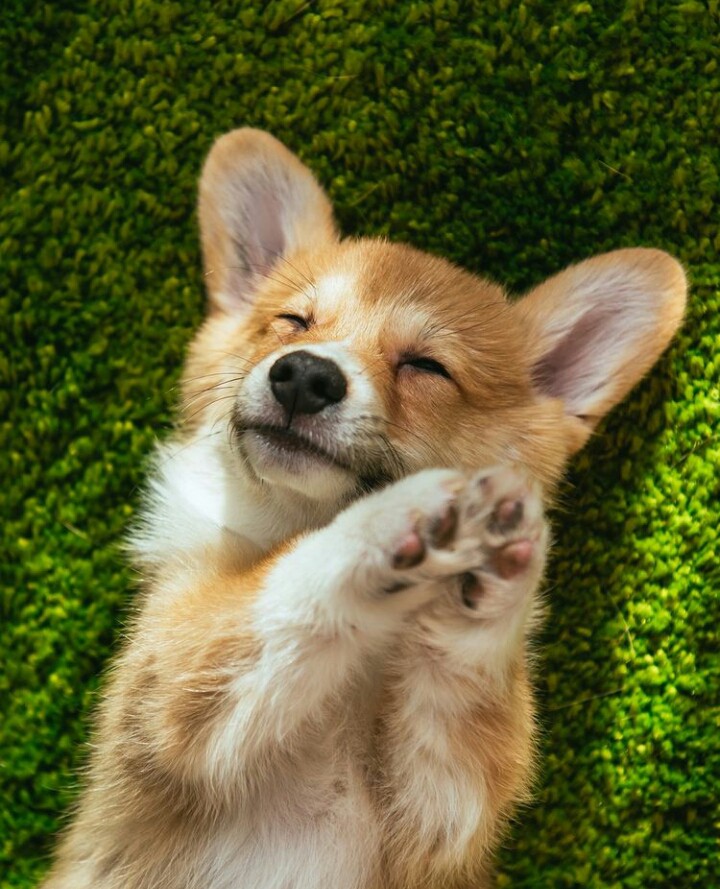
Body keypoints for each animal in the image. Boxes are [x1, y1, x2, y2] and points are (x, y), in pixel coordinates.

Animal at [41, 129, 686, 889]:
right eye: (293, 322)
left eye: (426, 366)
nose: (304, 375)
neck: (352, 670)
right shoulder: (170, 691)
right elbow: (290, 581)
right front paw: (388, 518)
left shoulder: (441, 813)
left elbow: (461, 673)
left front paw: (485, 572)